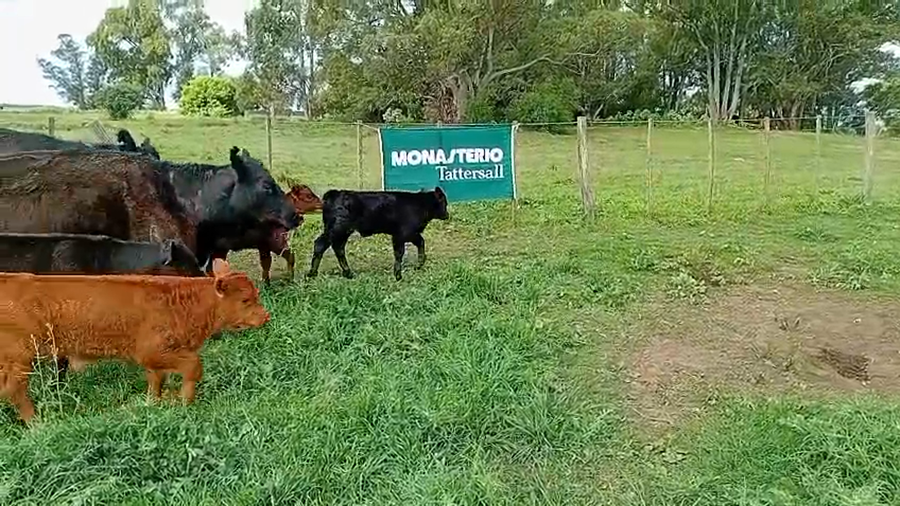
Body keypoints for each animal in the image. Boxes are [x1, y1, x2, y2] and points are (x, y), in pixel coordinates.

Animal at [0, 259, 269, 424]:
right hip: (21, 356)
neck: (183, 304)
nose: (266, 316)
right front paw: (185, 402)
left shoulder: (156, 360)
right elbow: (193, 365)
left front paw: (155, 404)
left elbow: (156, 382)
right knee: (15, 389)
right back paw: (36, 423)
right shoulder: (152, 351)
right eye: (245, 300)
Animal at [306, 187, 449, 281]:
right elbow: (399, 253)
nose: (447, 215)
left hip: (343, 232)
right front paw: (398, 275)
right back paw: (312, 274)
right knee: (320, 245)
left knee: (338, 248)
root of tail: (335, 193)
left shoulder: (410, 234)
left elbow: (420, 242)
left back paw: (348, 273)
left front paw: (419, 264)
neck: (420, 204)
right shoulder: (402, 234)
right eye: (444, 203)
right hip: (336, 229)